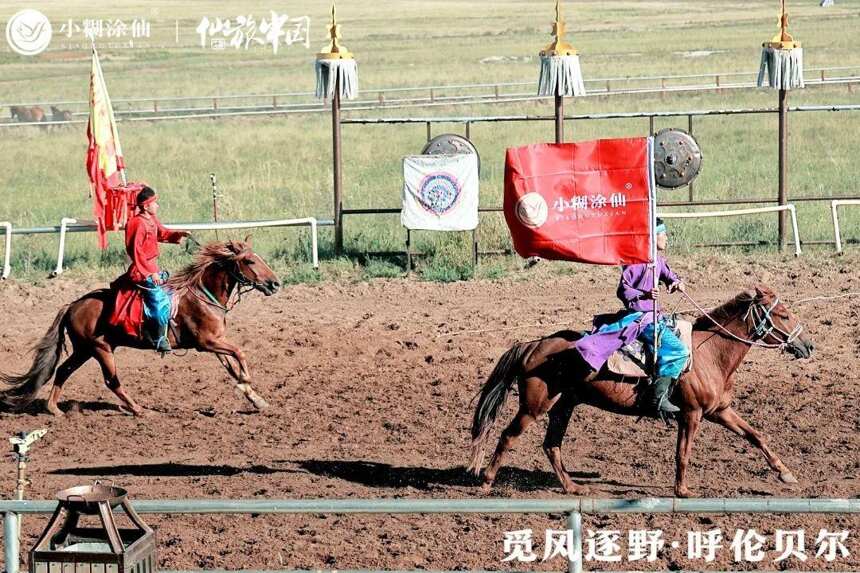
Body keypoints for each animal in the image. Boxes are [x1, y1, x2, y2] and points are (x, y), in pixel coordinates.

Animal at [0, 240, 278, 416]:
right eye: (250, 261)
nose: (275, 284)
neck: (201, 294)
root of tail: (72, 305)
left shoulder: (215, 342)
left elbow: (231, 365)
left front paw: (256, 399)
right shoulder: (207, 342)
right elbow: (240, 353)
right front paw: (246, 380)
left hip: (84, 350)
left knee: (62, 371)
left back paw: (54, 409)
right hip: (100, 349)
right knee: (111, 381)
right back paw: (137, 409)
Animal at [470, 286, 812, 496]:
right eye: (783, 314)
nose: (808, 345)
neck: (709, 353)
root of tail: (533, 345)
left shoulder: (719, 411)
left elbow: (756, 436)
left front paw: (785, 473)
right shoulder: (691, 414)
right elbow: (683, 453)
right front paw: (682, 490)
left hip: (564, 405)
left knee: (551, 445)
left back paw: (572, 487)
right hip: (534, 406)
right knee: (508, 436)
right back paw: (486, 481)